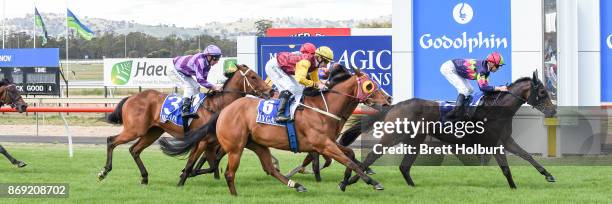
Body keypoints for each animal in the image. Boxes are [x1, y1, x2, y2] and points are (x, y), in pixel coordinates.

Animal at [98, 64, 270, 184]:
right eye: (253, 77)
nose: (270, 91)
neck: (217, 105)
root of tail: (131, 98)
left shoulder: (209, 142)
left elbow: (211, 164)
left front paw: (187, 174)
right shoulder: (203, 140)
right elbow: (201, 164)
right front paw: (185, 176)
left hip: (152, 132)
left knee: (134, 150)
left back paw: (145, 177)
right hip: (135, 129)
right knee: (111, 141)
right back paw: (104, 172)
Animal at [161, 64, 392, 196]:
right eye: (370, 85)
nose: (388, 99)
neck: (324, 108)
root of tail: (225, 109)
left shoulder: (327, 142)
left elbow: (350, 154)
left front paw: (346, 181)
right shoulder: (322, 144)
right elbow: (348, 160)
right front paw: (373, 182)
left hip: (256, 144)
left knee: (269, 168)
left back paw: (296, 185)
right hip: (236, 146)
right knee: (228, 171)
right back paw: (232, 194)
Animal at [342, 71, 556, 190]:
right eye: (542, 92)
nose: (553, 110)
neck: (497, 109)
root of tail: (395, 105)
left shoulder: (506, 140)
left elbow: (527, 156)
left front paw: (548, 175)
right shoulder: (493, 144)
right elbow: (505, 167)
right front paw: (513, 187)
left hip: (415, 140)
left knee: (404, 166)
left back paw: (412, 187)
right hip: (394, 135)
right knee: (372, 156)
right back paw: (351, 181)